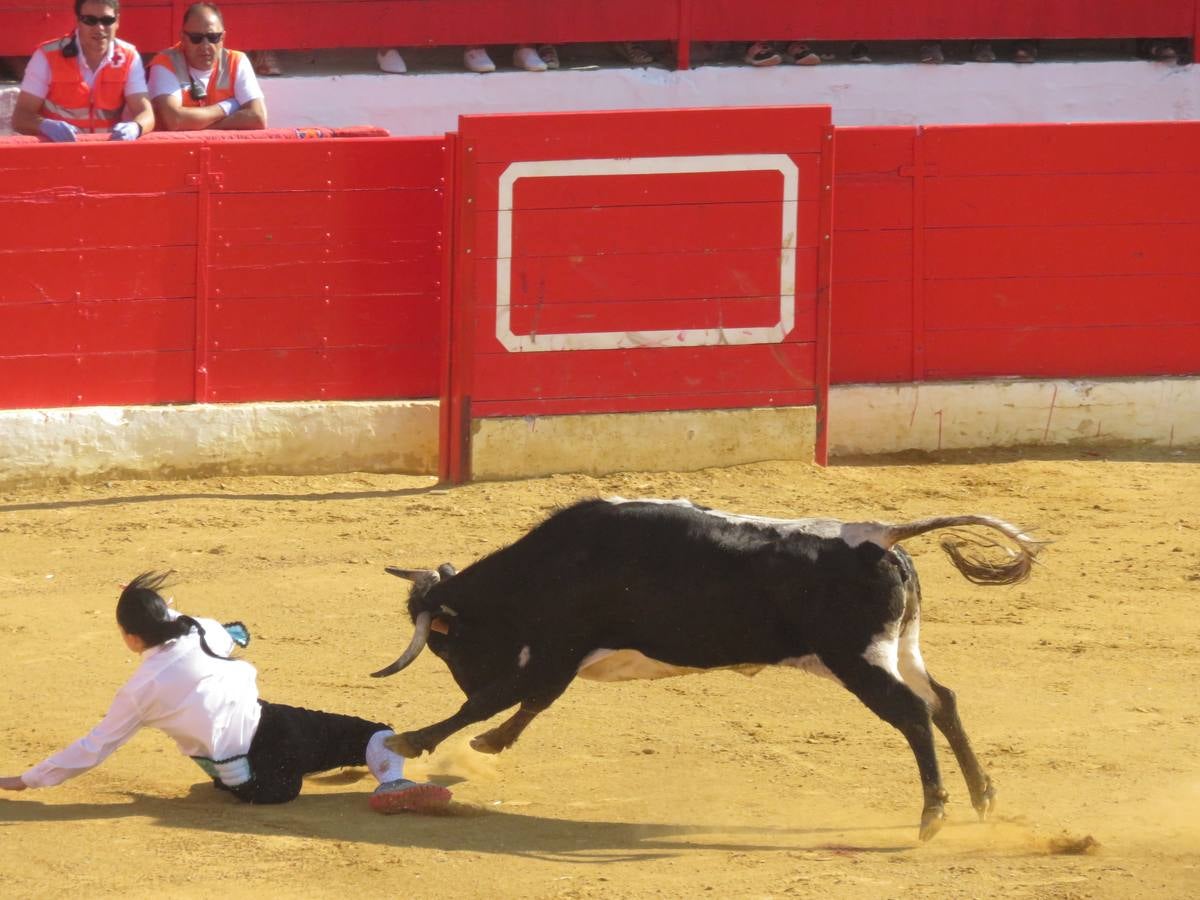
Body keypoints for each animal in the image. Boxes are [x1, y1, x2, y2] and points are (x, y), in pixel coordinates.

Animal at [369, 496, 1036, 844]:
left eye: (448, 647)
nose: (467, 672)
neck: (549, 566)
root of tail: (879, 535)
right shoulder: (560, 659)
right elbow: (526, 702)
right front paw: (486, 745)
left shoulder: (558, 648)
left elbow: (496, 700)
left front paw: (414, 740)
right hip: (898, 649)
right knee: (943, 701)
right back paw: (983, 798)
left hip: (857, 660)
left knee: (913, 714)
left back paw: (934, 815)